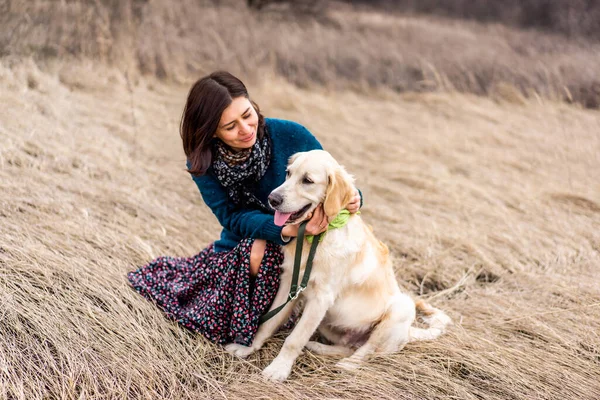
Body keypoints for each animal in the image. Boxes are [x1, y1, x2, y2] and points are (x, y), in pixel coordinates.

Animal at [225, 149, 450, 382]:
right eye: (288, 173)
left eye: (307, 180)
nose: (272, 199)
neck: (318, 237)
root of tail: (408, 333)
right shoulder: (290, 285)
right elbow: (268, 322)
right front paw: (248, 348)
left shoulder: (321, 298)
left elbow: (294, 339)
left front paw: (279, 369)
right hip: (329, 323)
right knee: (348, 346)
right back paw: (318, 347)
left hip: (401, 307)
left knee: (366, 350)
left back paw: (348, 364)